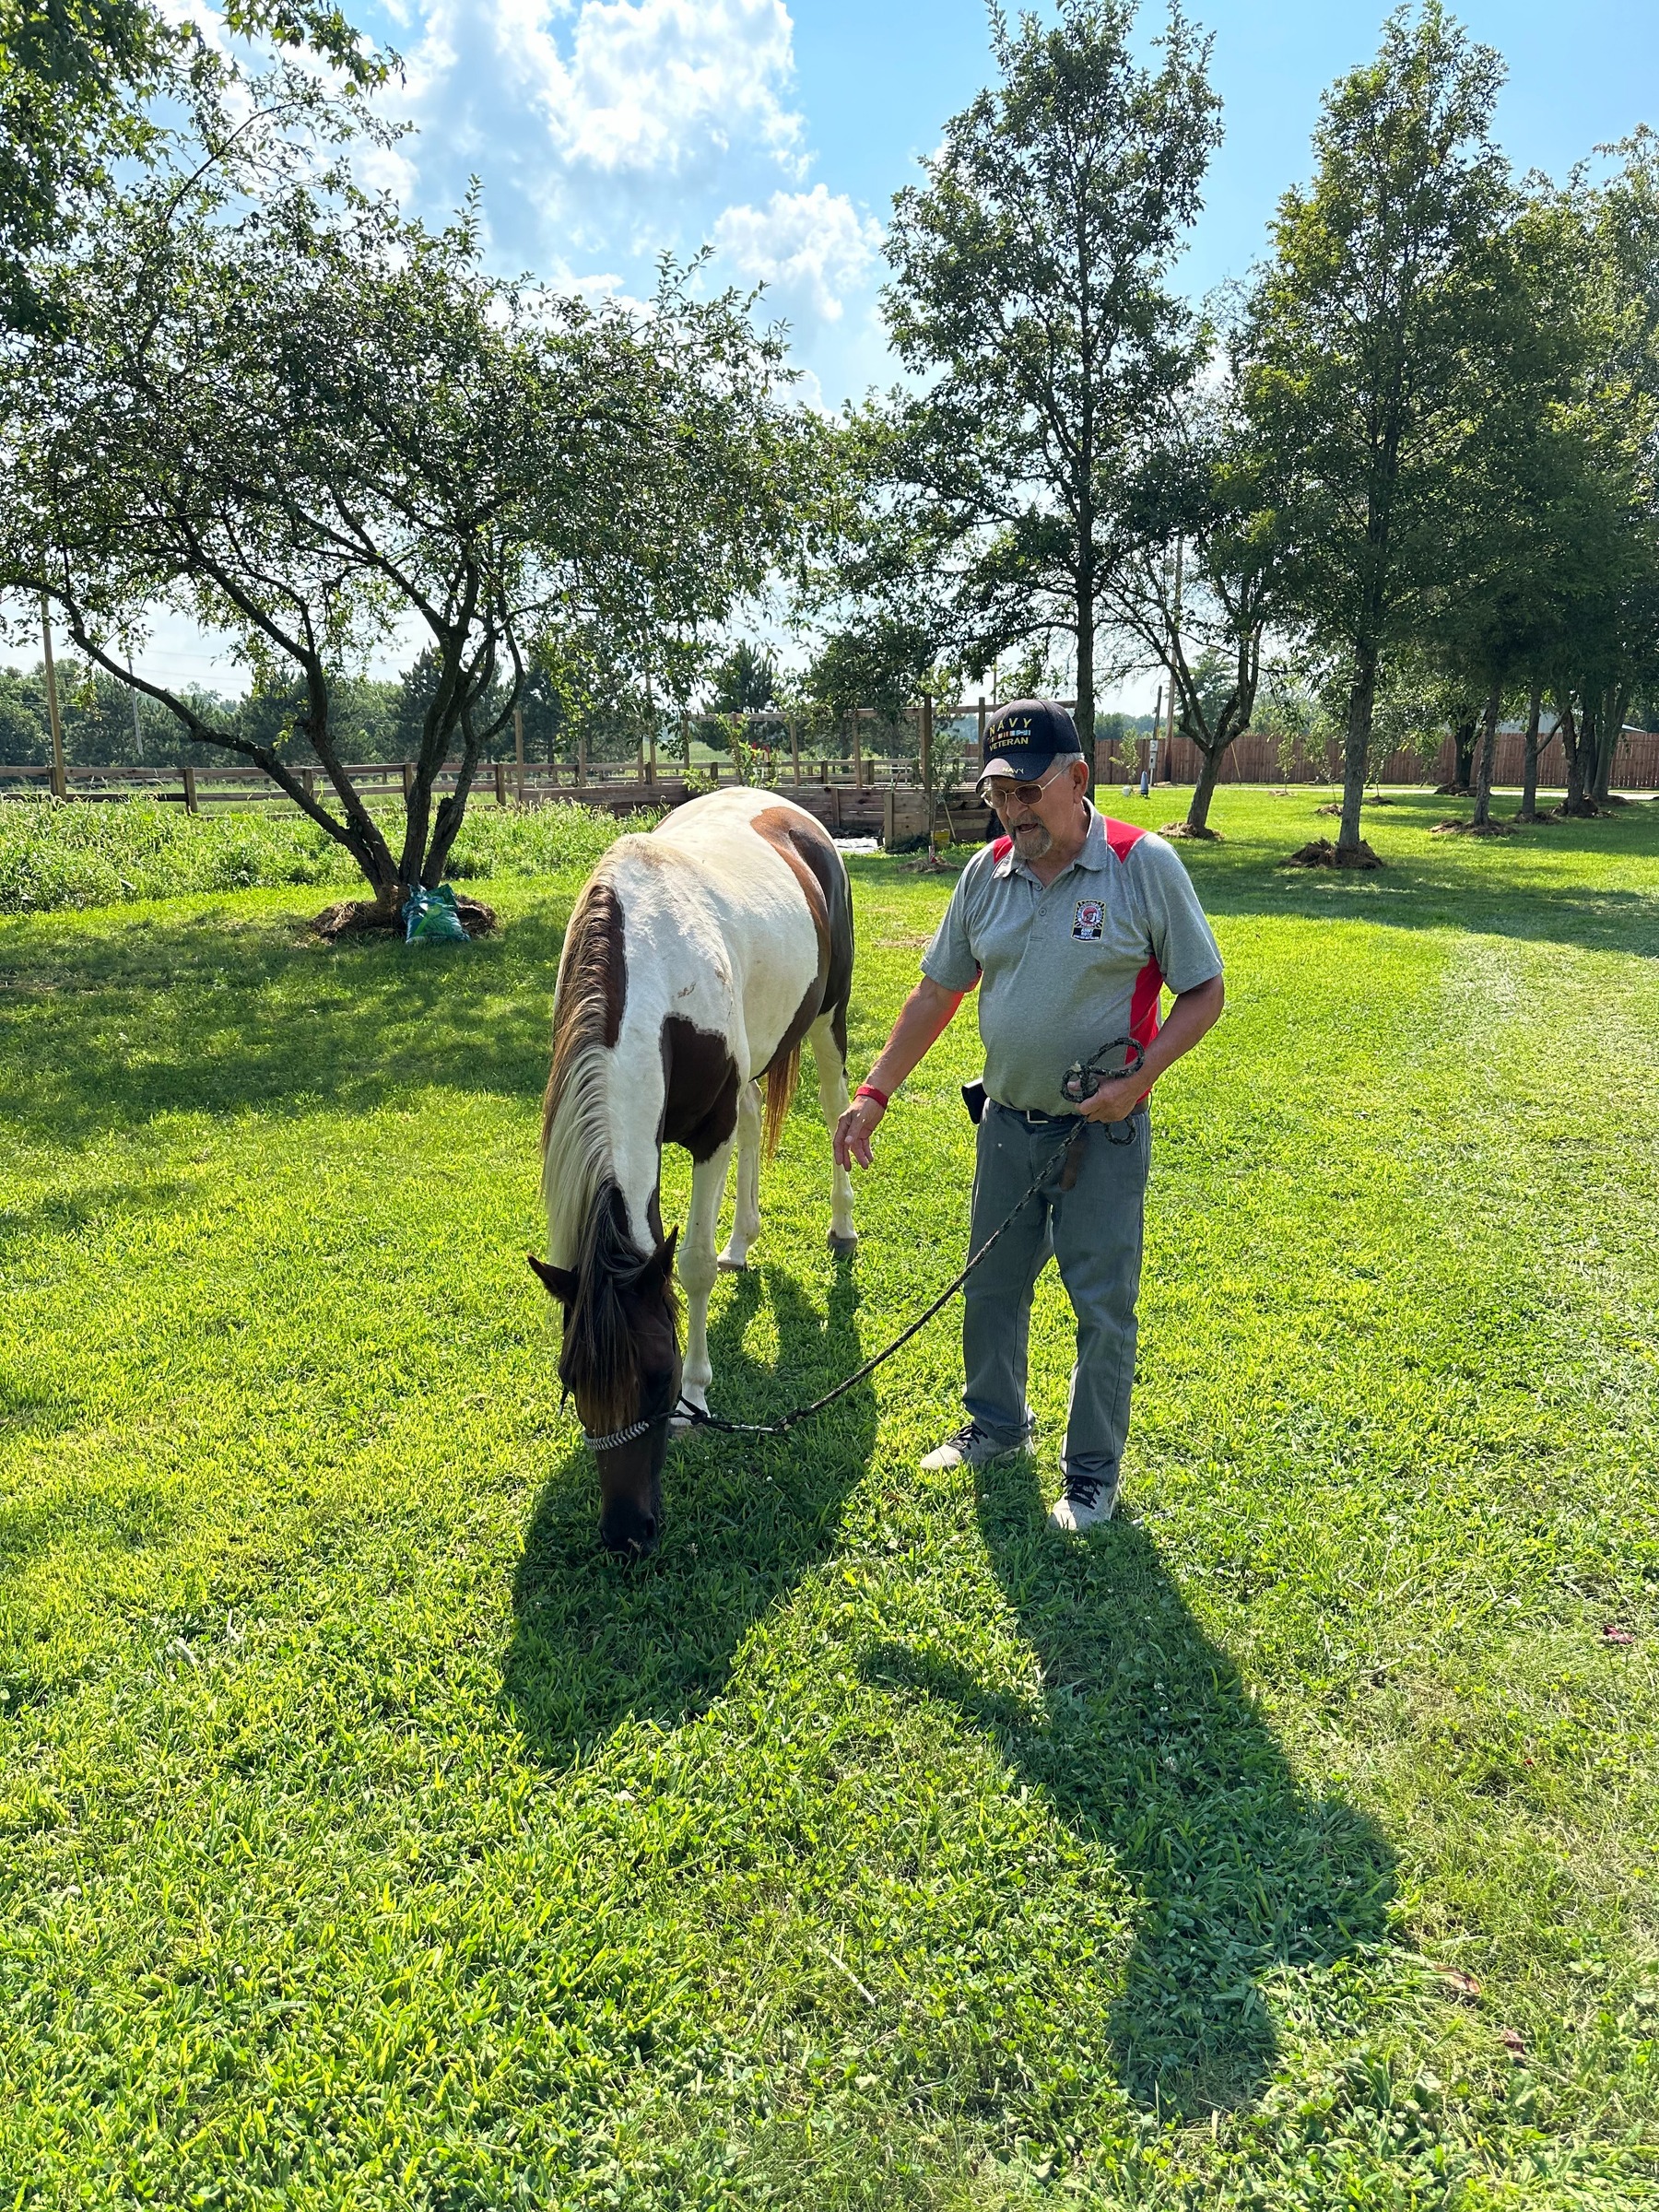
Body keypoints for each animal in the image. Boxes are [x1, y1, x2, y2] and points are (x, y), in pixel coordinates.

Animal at [530, 787, 858, 1555]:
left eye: (659, 1379)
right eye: (571, 1382)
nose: (626, 1536)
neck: (650, 971)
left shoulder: (706, 1135)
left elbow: (694, 1265)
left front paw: (700, 1397)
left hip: (828, 1019)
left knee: (838, 1112)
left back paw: (841, 1225)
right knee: (753, 1125)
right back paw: (746, 1238)